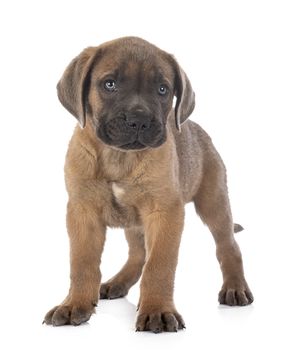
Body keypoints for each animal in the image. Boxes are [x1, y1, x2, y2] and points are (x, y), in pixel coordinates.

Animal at [43, 37, 254, 332]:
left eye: (163, 89)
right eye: (110, 84)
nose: (139, 120)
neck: (119, 157)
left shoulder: (165, 213)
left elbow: (159, 266)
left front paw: (157, 310)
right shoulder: (82, 212)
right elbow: (82, 263)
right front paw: (75, 304)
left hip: (214, 203)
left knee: (228, 246)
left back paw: (235, 287)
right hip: (135, 223)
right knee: (137, 254)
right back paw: (117, 283)